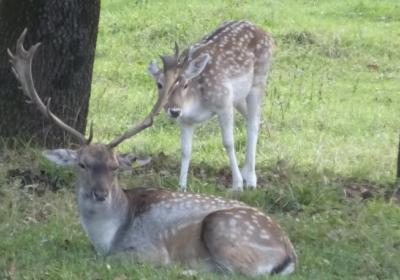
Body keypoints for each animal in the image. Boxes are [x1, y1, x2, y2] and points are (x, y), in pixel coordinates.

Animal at [148, 19, 274, 191]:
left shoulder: (224, 103)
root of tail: (265, 32)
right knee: (253, 120)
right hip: (239, 96)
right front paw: (181, 187)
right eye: (159, 84)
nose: (174, 110)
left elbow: (228, 143)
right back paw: (246, 171)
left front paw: (237, 185)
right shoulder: (185, 120)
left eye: (185, 84)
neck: (195, 105)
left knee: (253, 125)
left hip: (259, 79)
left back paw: (251, 180)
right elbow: (185, 150)